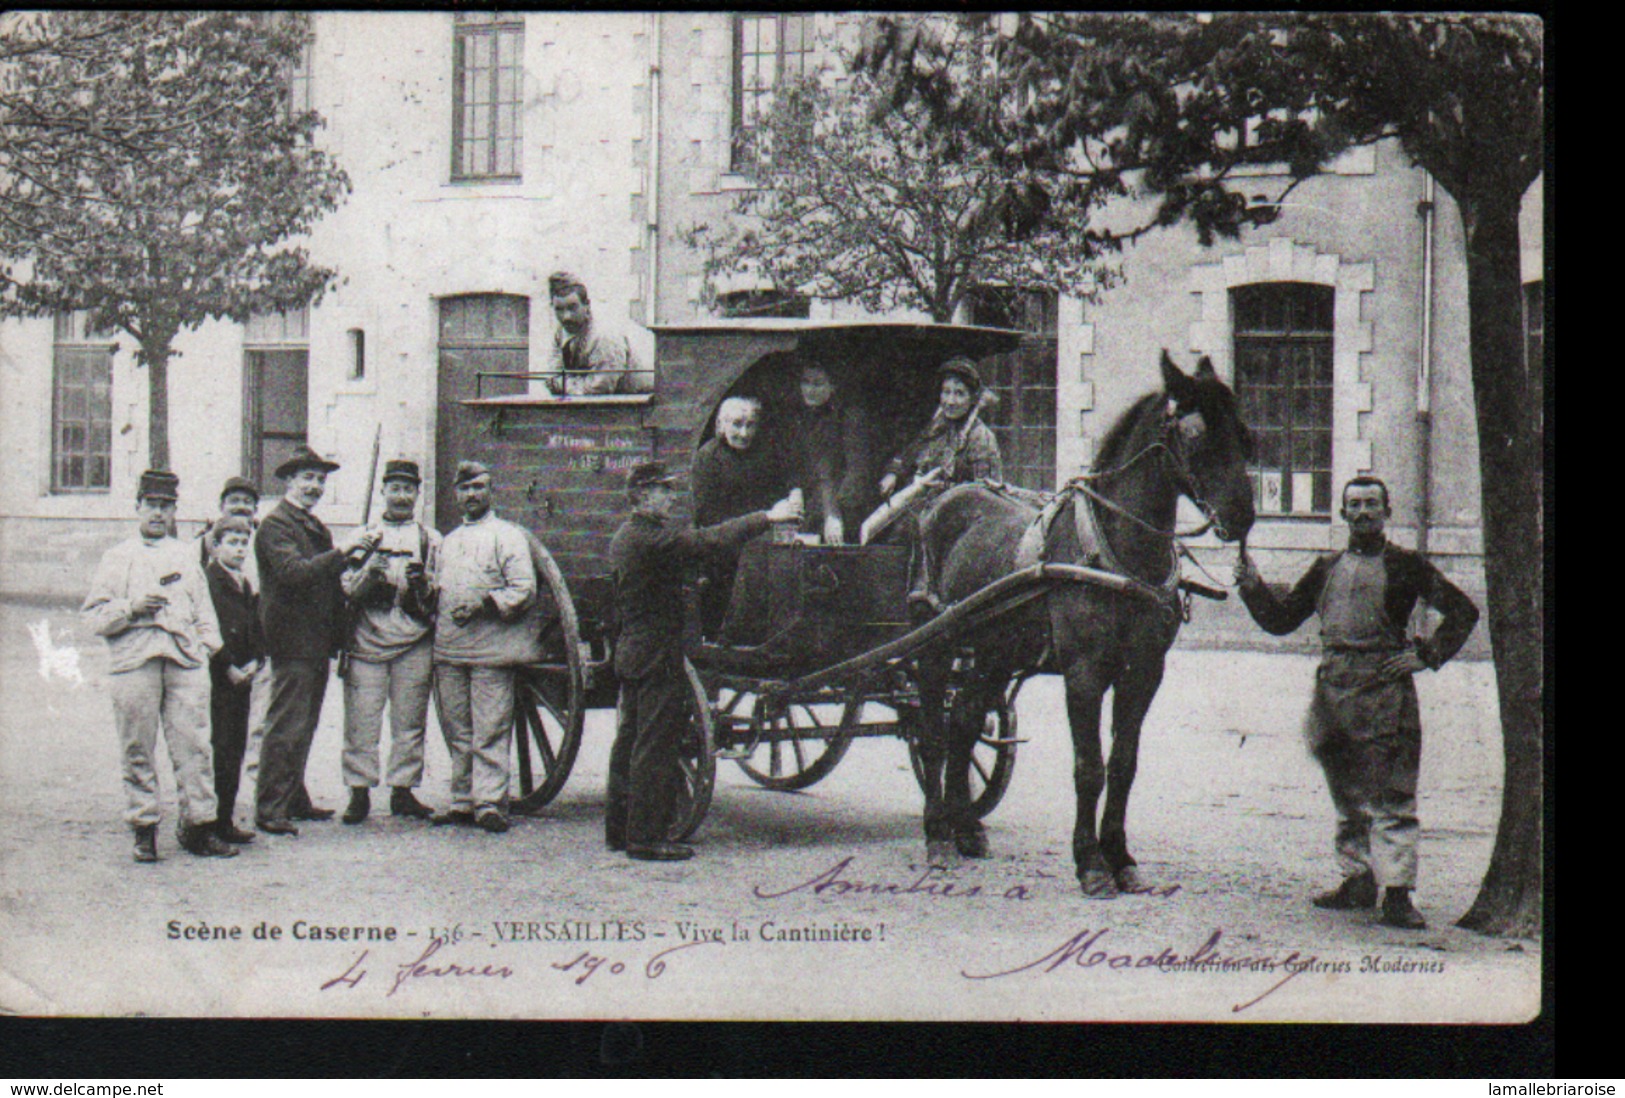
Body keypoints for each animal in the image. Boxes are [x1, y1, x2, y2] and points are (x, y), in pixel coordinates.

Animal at [916, 355, 1254, 896]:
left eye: (1243, 433)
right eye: (1196, 433)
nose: (1243, 515)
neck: (1118, 553)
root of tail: (944, 500)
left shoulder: (1143, 674)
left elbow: (1123, 765)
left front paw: (1120, 856)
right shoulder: (1084, 674)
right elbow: (1089, 768)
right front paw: (1090, 862)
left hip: (993, 651)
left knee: (964, 720)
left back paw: (965, 827)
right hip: (936, 643)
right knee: (932, 730)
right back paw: (937, 833)